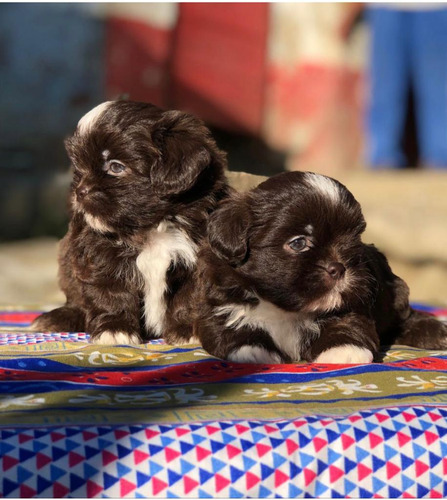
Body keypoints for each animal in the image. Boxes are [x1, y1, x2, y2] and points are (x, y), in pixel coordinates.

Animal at [31, 100, 229, 346]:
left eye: (116, 167)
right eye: (79, 169)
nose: (80, 191)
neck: (151, 227)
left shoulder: (197, 261)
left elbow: (189, 298)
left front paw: (186, 332)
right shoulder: (100, 257)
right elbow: (111, 295)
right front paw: (115, 330)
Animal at [195, 172, 447, 364]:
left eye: (354, 239)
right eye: (299, 243)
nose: (339, 267)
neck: (286, 311)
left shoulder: (354, 305)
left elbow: (346, 324)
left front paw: (344, 350)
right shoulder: (222, 308)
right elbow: (234, 329)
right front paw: (253, 350)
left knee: (406, 319)